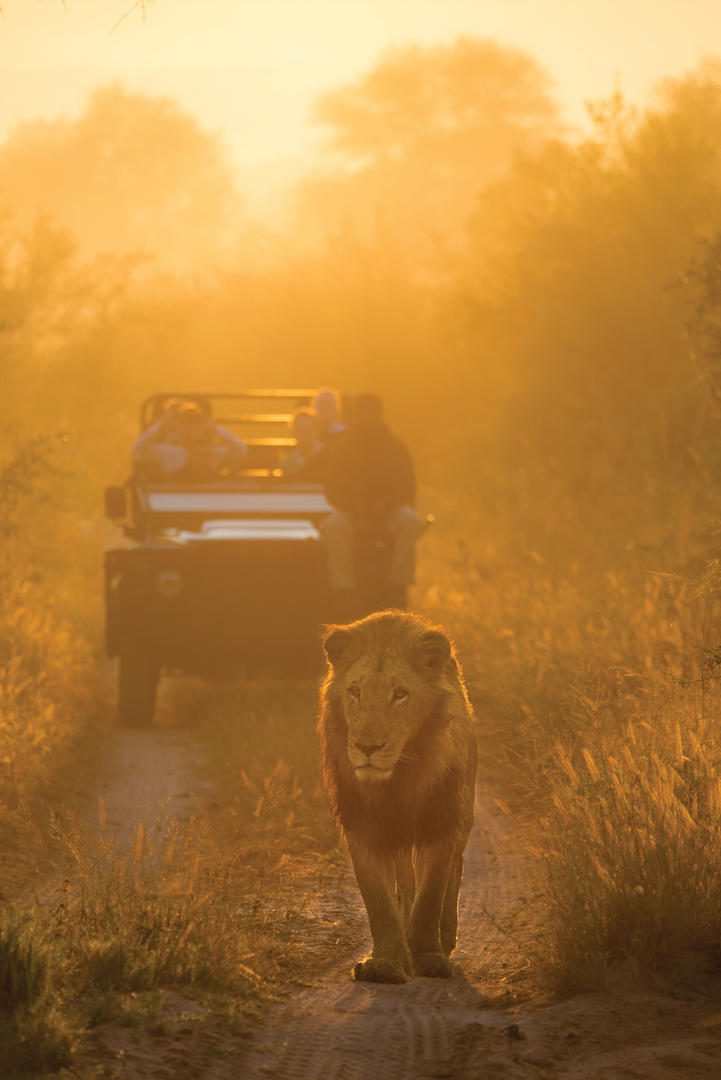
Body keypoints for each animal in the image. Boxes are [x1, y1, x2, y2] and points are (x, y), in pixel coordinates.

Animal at [317, 613, 474, 984]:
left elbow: (431, 894)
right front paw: (386, 962)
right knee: (404, 880)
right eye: (355, 691)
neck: (396, 783)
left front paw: (428, 956)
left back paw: (445, 938)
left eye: (400, 694)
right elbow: (379, 901)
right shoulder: (362, 828)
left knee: (453, 875)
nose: (367, 747)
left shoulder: (441, 822)